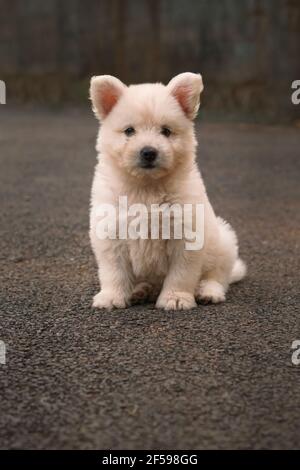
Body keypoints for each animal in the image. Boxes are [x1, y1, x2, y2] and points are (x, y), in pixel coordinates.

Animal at [89, 71, 246, 310]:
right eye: (129, 131)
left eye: (166, 131)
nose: (148, 152)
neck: (146, 188)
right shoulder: (110, 232)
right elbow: (114, 271)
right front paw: (112, 297)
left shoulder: (186, 235)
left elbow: (181, 274)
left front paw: (176, 298)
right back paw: (140, 290)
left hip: (223, 244)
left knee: (217, 276)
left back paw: (208, 291)